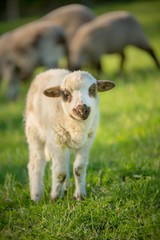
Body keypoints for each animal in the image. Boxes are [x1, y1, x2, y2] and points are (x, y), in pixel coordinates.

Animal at [24, 68, 115, 202]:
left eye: (92, 90)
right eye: (66, 94)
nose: (82, 110)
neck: (77, 127)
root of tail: (50, 70)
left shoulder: (87, 142)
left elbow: (79, 168)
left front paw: (80, 196)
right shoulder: (56, 142)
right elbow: (60, 172)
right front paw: (55, 198)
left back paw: (65, 188)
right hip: (34, 131)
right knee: (36, 162)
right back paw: (36, 196)